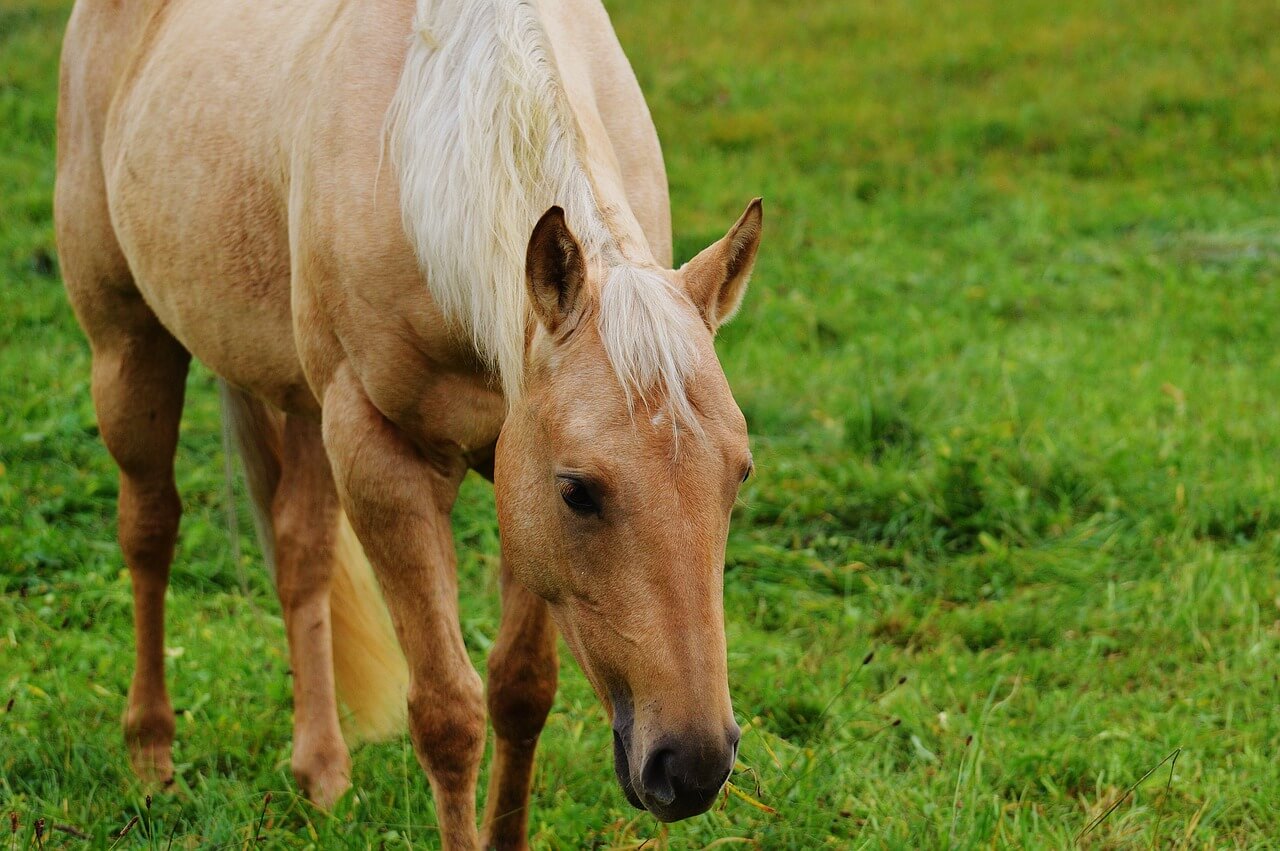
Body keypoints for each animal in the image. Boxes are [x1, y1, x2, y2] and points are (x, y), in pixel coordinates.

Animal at [55, 0, 763, 846]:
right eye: (578, 491)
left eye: (738, 476)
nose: (692, 766)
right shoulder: (382, 455)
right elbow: (447, 715)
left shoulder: (512, 466)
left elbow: (521, 690)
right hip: (130, 348)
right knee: (150, 529)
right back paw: (151, 754)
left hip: (304, 403)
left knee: (299, 552)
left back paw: (321, 769)